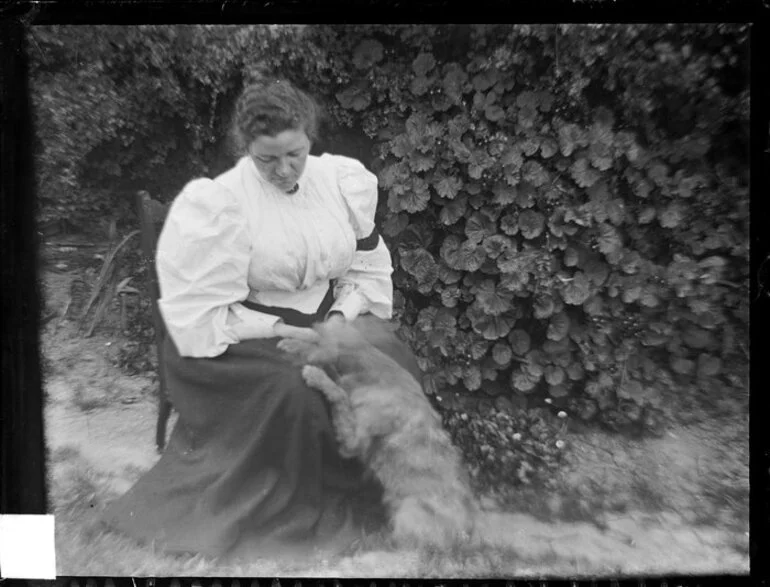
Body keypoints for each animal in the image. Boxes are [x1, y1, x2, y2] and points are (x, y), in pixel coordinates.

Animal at [280, 320, 476, 548]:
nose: (281, 343)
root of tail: (466, 536)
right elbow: (339, 384)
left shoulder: (352, 442)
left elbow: (338, 393)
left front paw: (316, 375)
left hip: (409, 513)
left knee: (401, 544)